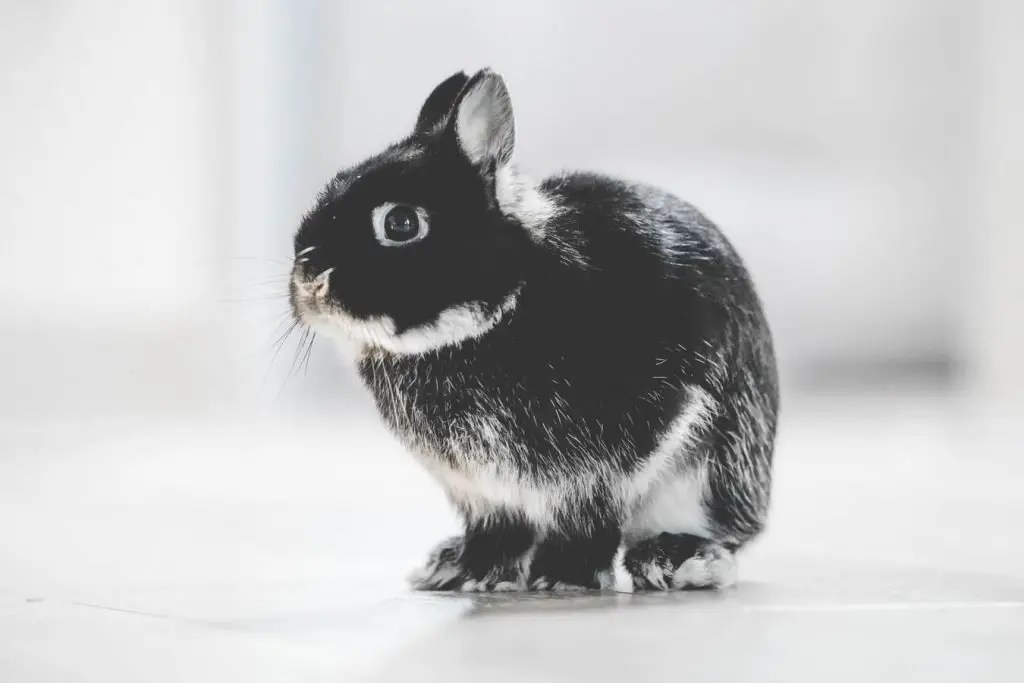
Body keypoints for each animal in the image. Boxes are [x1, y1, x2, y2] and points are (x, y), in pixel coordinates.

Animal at [289, 68, 779, 592]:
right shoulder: (483, 493)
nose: (309, 277)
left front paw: (564, 578)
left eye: (400, 222)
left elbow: (587, 519)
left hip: (712, 474)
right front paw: (473, 573)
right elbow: (498, 531)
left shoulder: (609, 463)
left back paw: (675, 560)